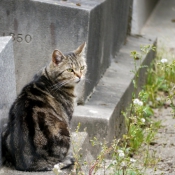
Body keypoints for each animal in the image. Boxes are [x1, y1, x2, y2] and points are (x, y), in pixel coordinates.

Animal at [1, 42, 86, 171]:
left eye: (82, 67)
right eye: (70, 70)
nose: (80, 76)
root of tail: (29, 163)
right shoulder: (68, 118)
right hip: (63, 129)